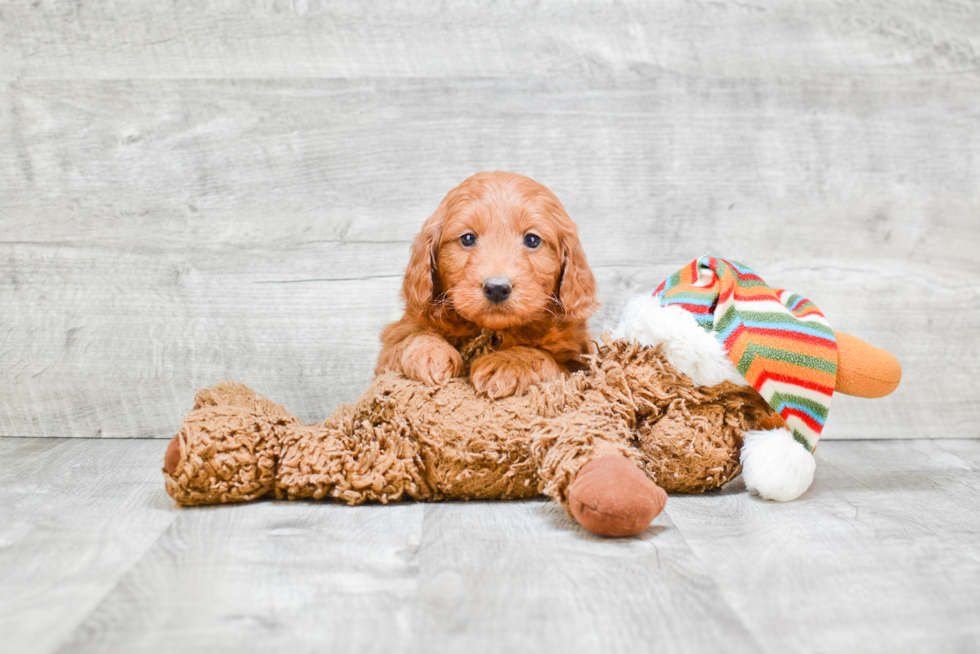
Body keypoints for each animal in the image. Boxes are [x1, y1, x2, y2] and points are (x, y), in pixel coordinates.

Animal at [376, 172, 596, 398]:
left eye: (532, 240)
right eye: (467, 238)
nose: (497, 288)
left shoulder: (578, 364)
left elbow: (542, 356)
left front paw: (506, 363)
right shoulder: (392, 343)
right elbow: (411, 337)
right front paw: (431, 353)